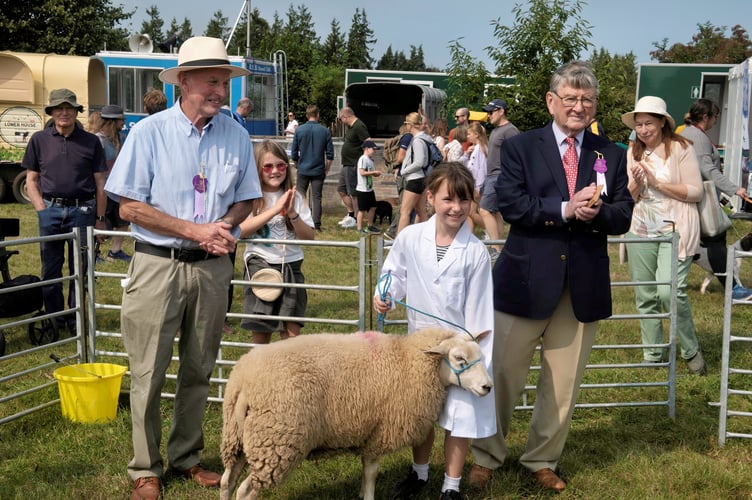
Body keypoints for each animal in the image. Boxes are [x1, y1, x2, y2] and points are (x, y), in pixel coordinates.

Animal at [219, 328, 494, 500]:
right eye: (459, 358)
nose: (487, 387)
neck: (407, 359)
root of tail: (243, 382)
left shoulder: (368, 430)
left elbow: (364, 470)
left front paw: (361, 492)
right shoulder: (380, 433)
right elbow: (371, 472)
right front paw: (368, 496)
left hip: (239, 438)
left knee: (227, 481)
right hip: (275, 441)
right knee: (245, 490)